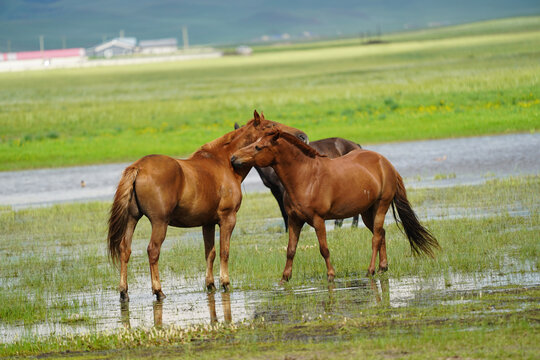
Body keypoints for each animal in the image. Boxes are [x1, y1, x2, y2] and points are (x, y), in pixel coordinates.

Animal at [107, 112, 306, 300]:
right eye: (270, 126)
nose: (302, 136)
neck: (224, 164)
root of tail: (138, 167)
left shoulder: (207, 223)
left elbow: (210, 253)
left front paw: (210, 284)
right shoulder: (228, 218)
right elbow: (225, 250)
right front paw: (225, 282)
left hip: (132, 218)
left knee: (125, 250)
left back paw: (124, 292)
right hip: (159, 222)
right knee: (153, 251)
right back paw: (158, 290)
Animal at [230, 131, 440, 282]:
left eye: (258, 147)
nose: (233, 158)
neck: (305, 177)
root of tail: (385, 163)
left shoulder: (318, 220)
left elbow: (324, 248)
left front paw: (331, 275)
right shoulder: (294, 220)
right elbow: (290, 250)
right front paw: (284, 278)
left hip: (381, 206)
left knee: (376, 238)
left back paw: (371, 270)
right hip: (367, 212)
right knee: (381, 234)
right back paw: (383, 267)